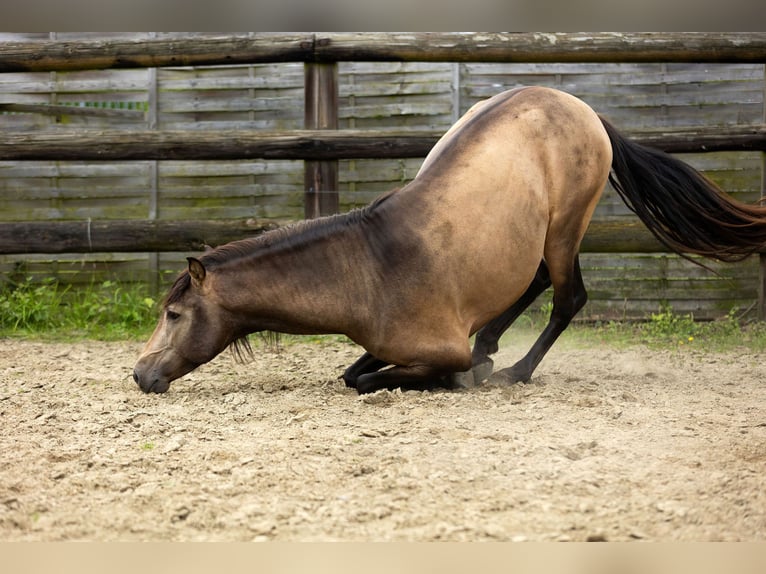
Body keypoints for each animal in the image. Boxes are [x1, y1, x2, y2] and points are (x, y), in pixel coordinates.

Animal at [134, 86, 766, 396]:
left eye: (173, 314)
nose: (139, 375)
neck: (369, 270)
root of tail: (581, 108)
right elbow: (354, 371)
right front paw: (475, 356)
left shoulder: (435, 348)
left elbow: (368, 381)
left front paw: (466, 375)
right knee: (535, 282)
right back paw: (490, 344)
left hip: (566, 227)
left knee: (568, 297)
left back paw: (509, 370)